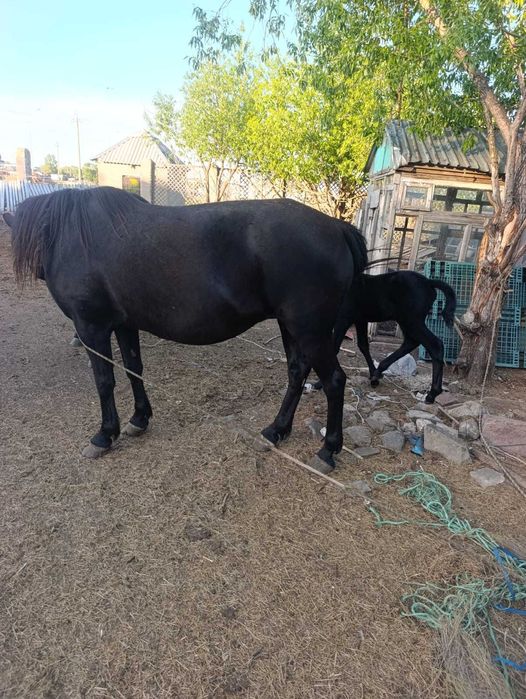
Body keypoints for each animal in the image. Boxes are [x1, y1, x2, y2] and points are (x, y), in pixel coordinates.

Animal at [4, 187, 367, 472]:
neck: (74, 236)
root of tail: (336, 227)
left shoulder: (91, 327)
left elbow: (104, 381)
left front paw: (105, 435)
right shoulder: (124, 324)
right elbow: (134, 368)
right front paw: (139, 419)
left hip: (309, 330)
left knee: (334, 381)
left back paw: (327, 450)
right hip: (291, 326)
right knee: (296, 372)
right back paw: (275, 431)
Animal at [311, 271, 456, 403]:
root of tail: (428, 282)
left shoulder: (343, 319)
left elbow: (335, 347)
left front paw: (319, 383)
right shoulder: (360, 320)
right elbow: (363, 345)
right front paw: (373, 376)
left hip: (412, 320)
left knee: (434, 345)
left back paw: (432, 394)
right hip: (406, 321)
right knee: (411, 342)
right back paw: (378, 372)